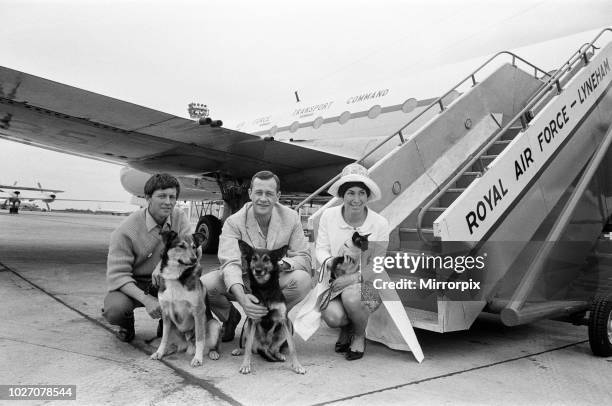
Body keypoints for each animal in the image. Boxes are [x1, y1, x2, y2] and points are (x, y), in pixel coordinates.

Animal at [149, 232, 221, 368]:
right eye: (181, 246)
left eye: (194, 247)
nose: (194, 259)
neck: (176, 276)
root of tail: (187, 345)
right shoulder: (165, 313)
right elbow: (163, 339)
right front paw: (159, 352)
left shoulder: (198, 311)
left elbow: (200, 338)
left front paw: (197, 359)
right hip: (172, 327)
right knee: (173, 344)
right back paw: (168, 350)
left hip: (214, 324)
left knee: (210, 345)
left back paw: (213, 353)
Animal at [230, 239, 306, 376]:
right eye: (254, 258)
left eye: (267, 259)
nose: (258, 270)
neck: (264, 288)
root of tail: (263, 348)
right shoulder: (253, 319)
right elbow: (248, 346)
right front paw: (245, 365)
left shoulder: (284, 319)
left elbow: (292, 347)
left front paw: (297, 366)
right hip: (246, 325)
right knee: (248, 346)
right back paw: (239, 350)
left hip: (288, 326)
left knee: (275, 348)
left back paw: (279, 354)